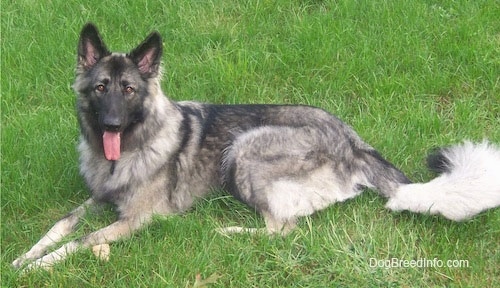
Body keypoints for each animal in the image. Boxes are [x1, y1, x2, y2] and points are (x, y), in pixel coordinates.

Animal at [12, 22, 500, 270]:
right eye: (101, 88)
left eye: (129, 90)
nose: (111, 122)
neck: (131, 147)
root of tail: (353, 142)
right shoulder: (99, 200)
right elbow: (62, 223)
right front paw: (25, 255)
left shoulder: (138, 218)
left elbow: (84, 239)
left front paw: (41, 266)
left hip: (246, 150)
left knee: (283, 229)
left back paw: (227, 232)